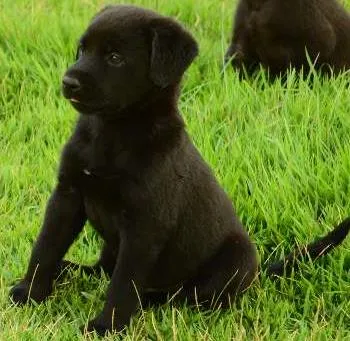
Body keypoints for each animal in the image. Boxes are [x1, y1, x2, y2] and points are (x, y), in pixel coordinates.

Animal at [9, 4, 348, 334]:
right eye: (82, 50)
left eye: (115, 57)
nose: (69, 82)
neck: (113, 134)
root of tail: (258, 272)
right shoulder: (67, 196)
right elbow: (45, 248)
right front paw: (29, 294)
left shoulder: (145, 225)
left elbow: (123, 283)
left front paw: (106, 326)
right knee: (103, 270)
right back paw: (69, 270)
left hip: (236, 258)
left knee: (182, 297)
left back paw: (149, 301)